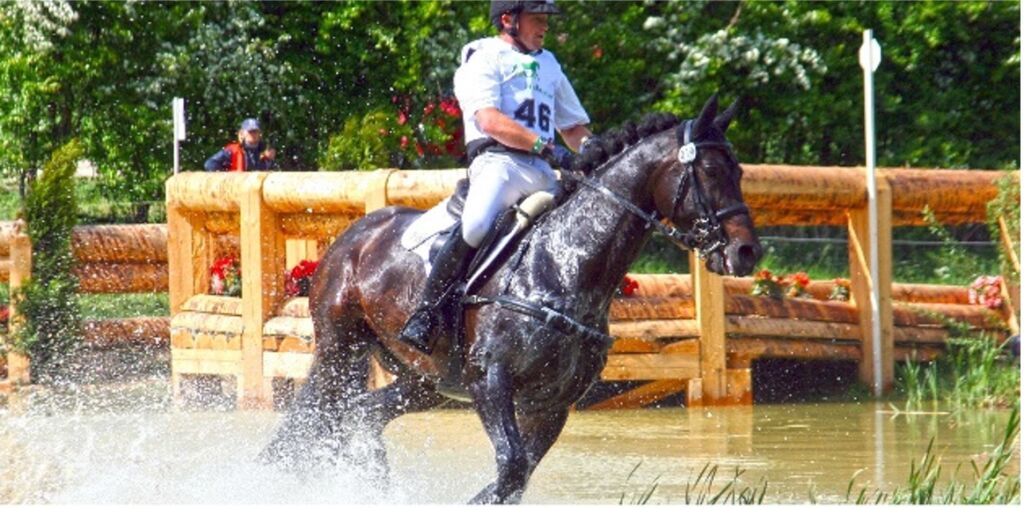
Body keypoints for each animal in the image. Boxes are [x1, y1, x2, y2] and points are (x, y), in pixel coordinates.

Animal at [259, 94, 763, 503]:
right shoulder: (492, 380)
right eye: (711, 171)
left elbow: (514, 479)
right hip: (339, 350)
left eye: (740, 171)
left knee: (361, 416)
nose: (746, 252)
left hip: (426, 380)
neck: (565, 267)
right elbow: (511, 468)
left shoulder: (551, 404)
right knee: (311, 419)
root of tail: (354, 235)